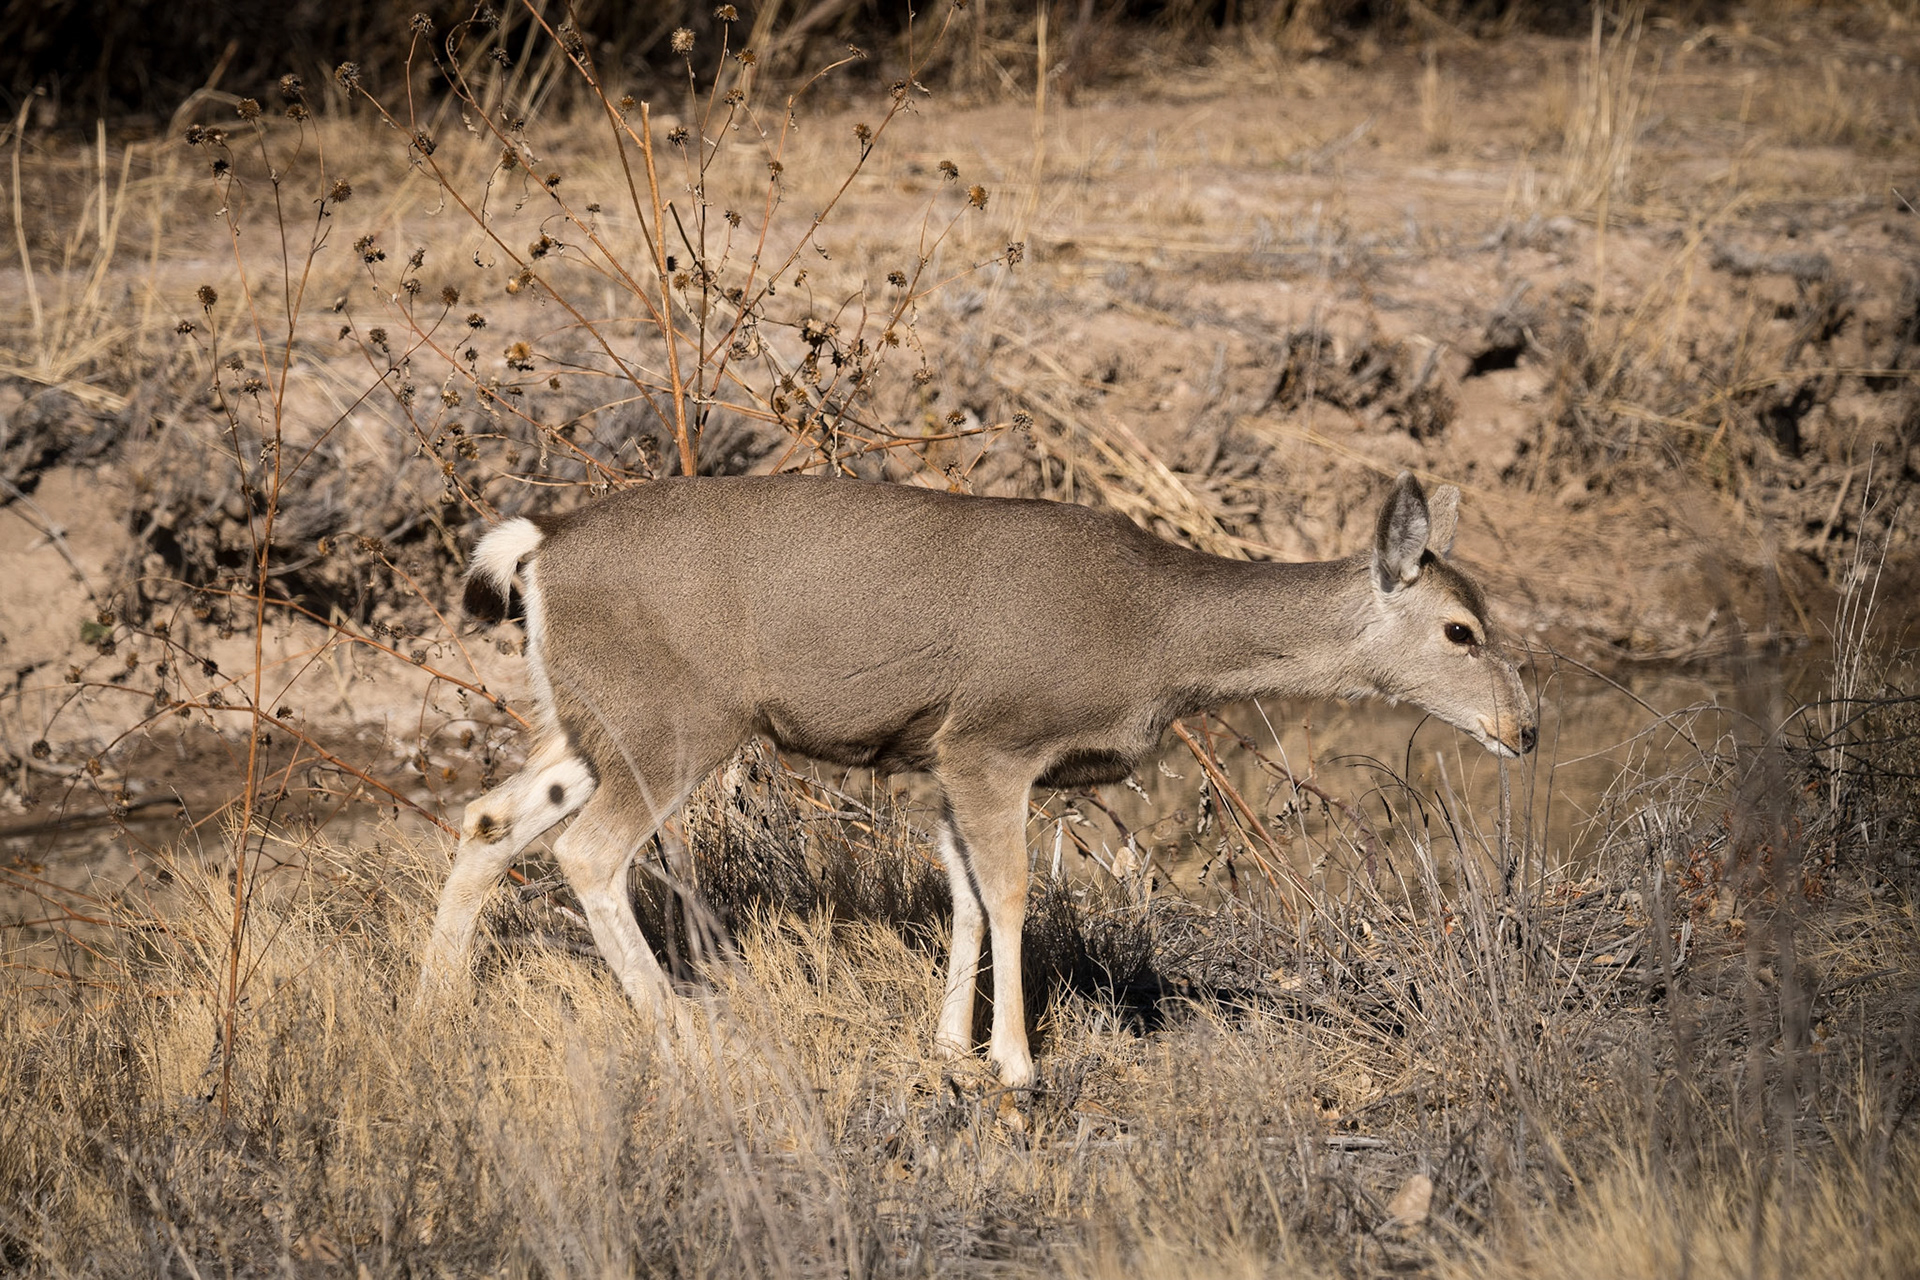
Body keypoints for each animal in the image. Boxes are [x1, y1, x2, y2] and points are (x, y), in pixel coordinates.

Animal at [419, 471, 1535, 1086]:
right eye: (1461, 631)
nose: (1523, 725)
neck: (1162, 635)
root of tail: (541, 547)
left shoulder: (934, 754)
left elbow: (959, 893)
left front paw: (953, 1047)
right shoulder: (994, 738)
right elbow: (1007, 890)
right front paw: (1017, 1063)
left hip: (591, 720)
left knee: (489, 817)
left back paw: (440, 1004)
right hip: (674, 718)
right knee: (586, 850)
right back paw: (687, 1036)